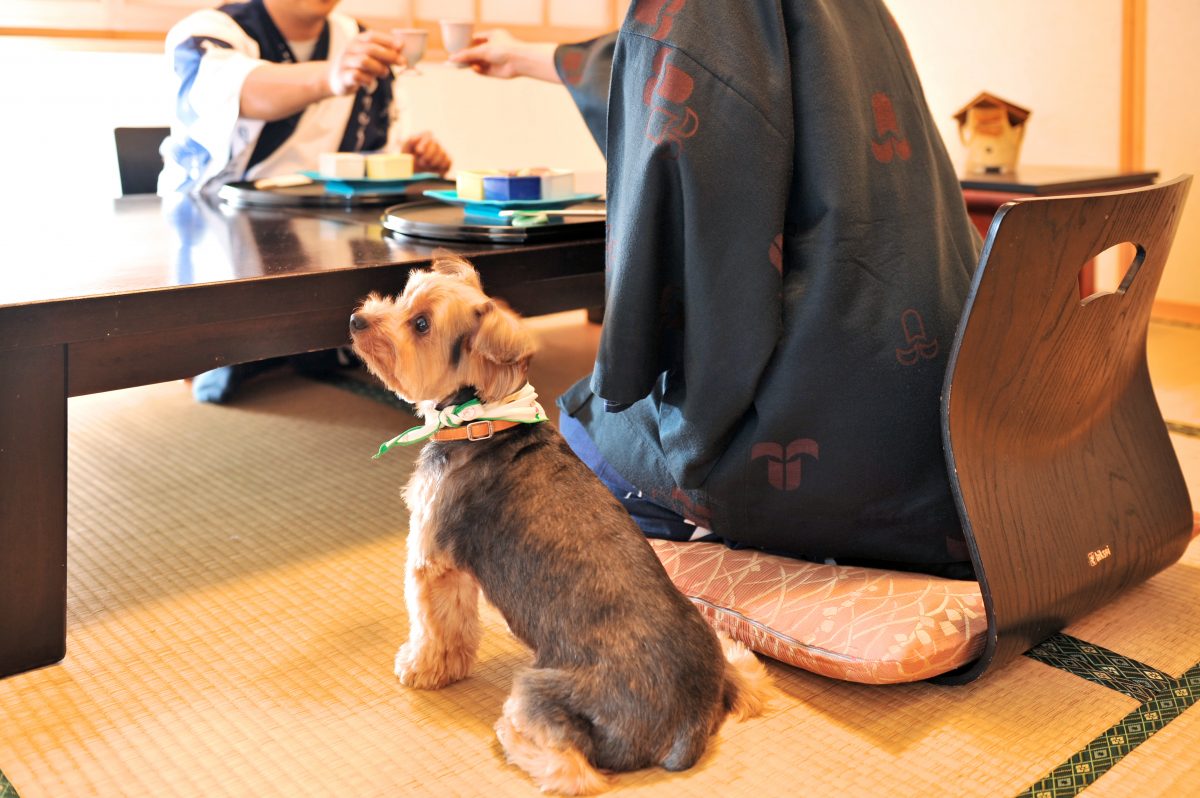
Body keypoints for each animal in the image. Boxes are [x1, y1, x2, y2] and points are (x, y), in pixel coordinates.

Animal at [350, 252, 772, 792]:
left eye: (420, 324)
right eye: (404, 296)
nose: (357, 320)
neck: (482, 418)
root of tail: (688, 726)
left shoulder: (434, 558)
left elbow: (437, 628)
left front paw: (421, 668)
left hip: (547, 689)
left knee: (575, 769)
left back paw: (514, 737)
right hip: (716, 651)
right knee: (747, 673)